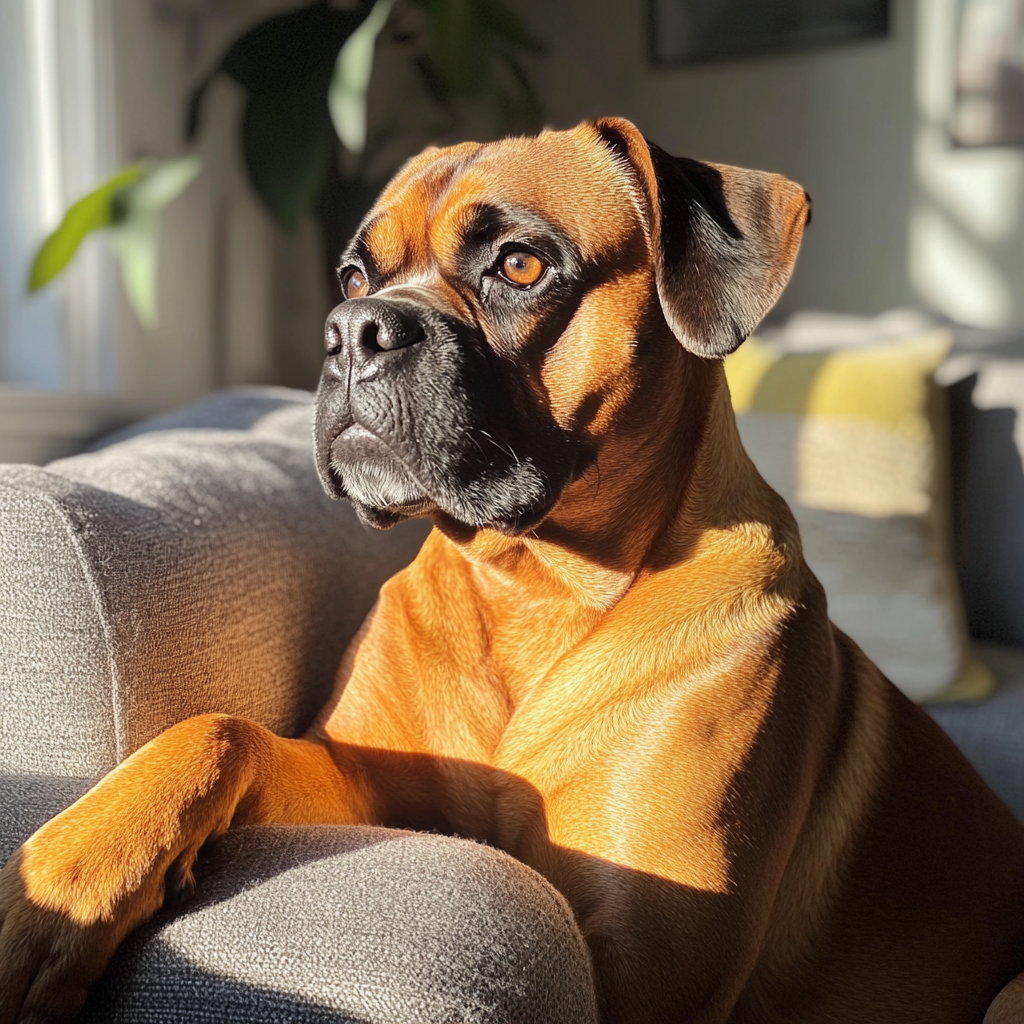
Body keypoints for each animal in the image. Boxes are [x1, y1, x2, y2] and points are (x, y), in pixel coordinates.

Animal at [2, 119, 1024, 1024]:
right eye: (354, 277)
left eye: (520, 265)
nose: (353, 330)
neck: (530, 581)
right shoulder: (354, 783)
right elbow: (221, 731)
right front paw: (65, 877)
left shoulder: (640, 970)